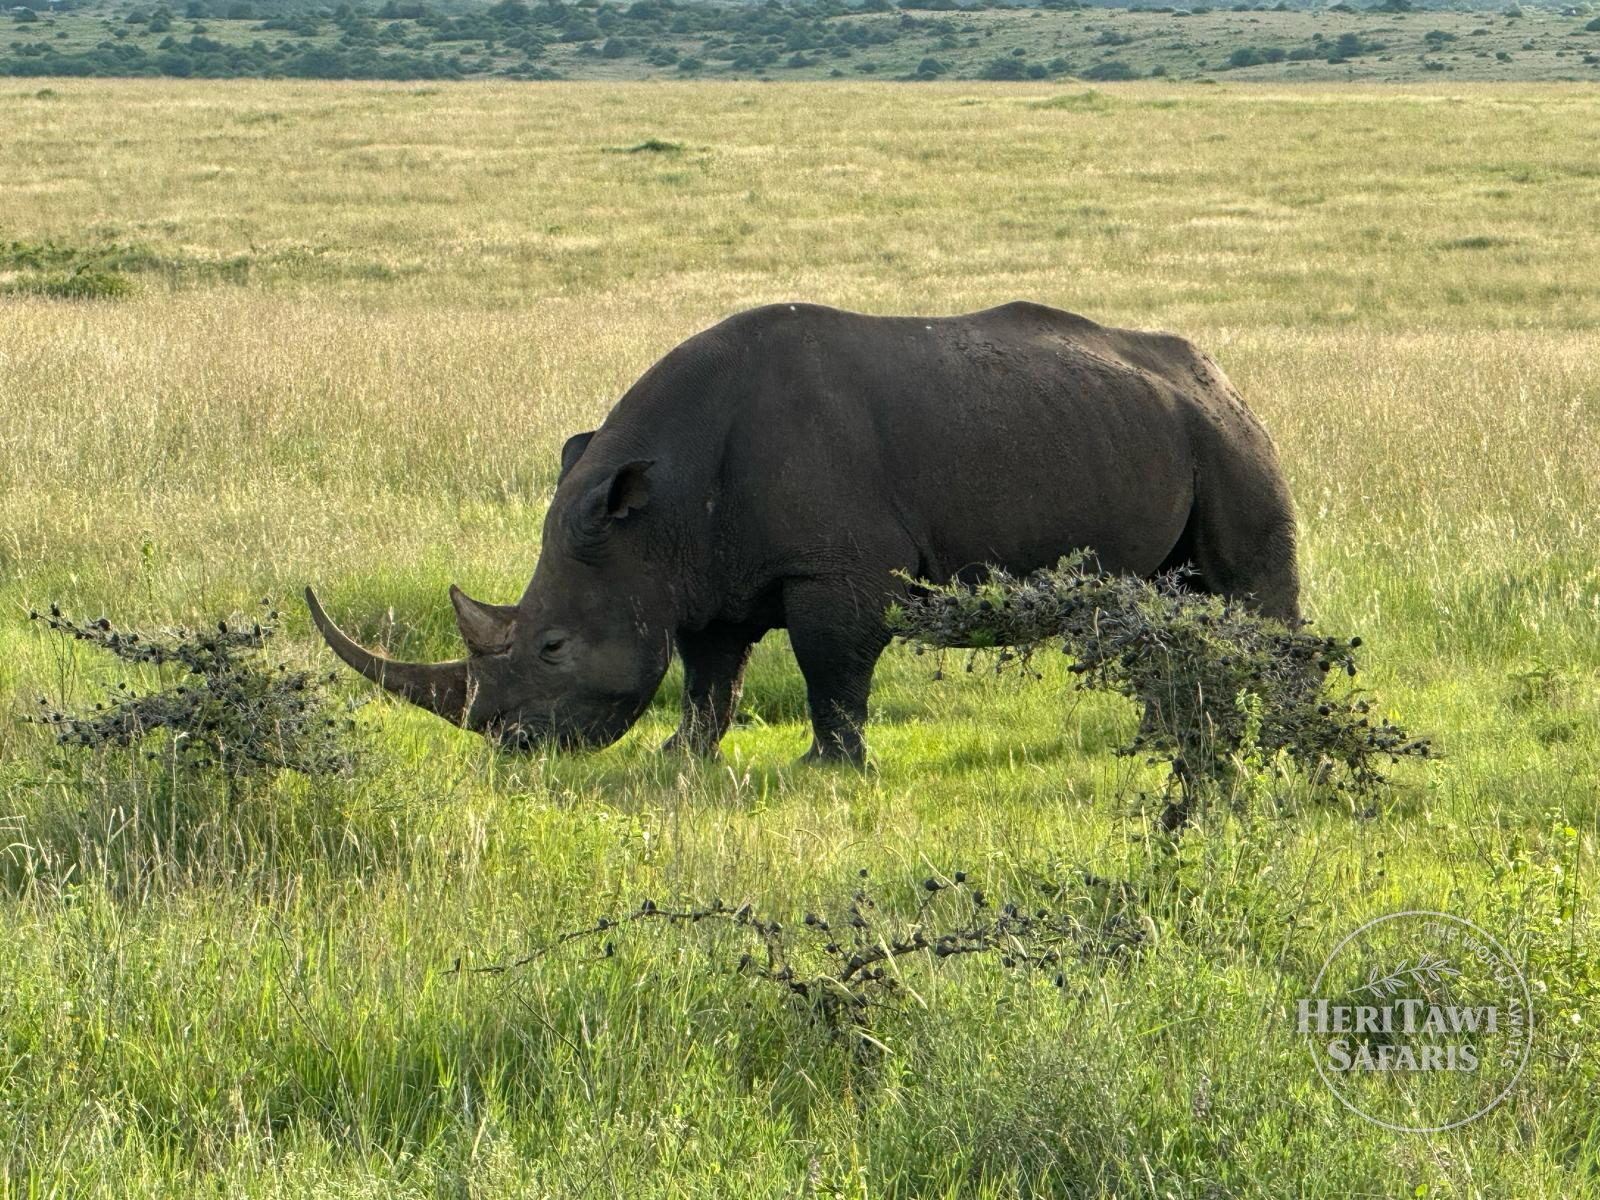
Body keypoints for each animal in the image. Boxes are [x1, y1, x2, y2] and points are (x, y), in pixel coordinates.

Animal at [307, 301, 1299, 764]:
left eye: (552, 646)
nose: (514, 748)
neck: (654, 514)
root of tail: (1218, 372)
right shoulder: (697, 572)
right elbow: (708, 674)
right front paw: (682, 758)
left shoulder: (837, 568)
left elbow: (832, 668)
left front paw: (830, 766)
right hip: (1153, 424)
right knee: (1177, 598)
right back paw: (1181, 730)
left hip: (1224, 431)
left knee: (1249, 588)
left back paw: (1277, 729)